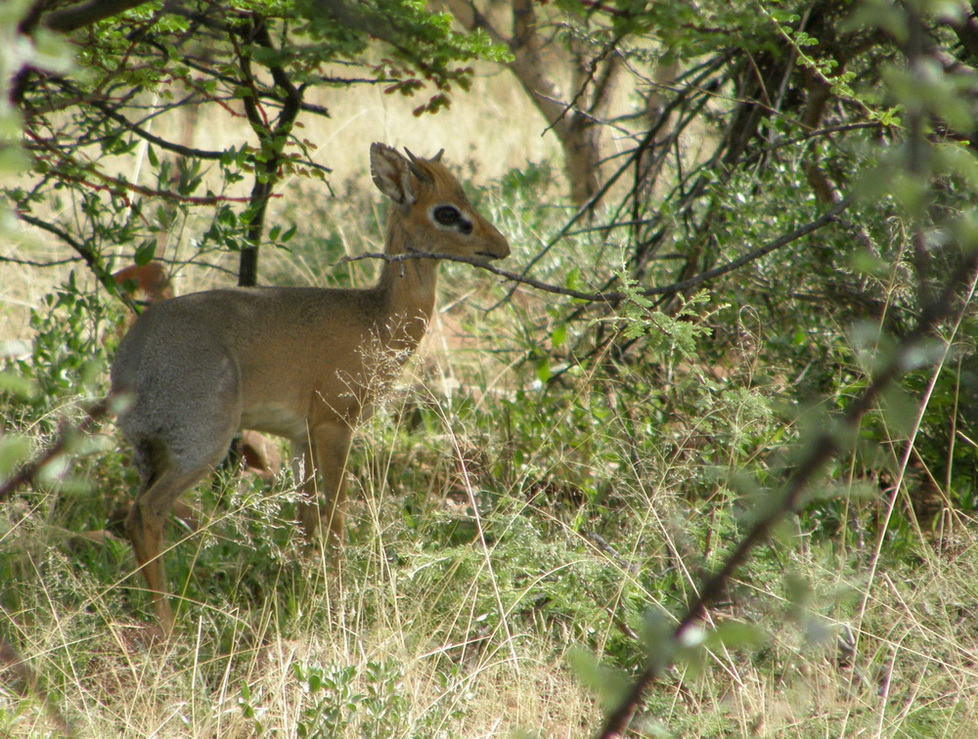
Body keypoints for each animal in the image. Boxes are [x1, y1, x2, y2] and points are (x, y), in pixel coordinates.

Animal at [110, 145, 510, 632]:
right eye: (448, 212)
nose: (501, 247)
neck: (375, 319)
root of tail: (127, 363)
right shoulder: (334, 426)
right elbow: (334, 511)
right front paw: (338, 598)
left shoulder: (301, 437)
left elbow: (305, 514)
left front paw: (300, 587)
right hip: (203, 445)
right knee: (148, 512)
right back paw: (169, 626)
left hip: (158, 453)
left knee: (134, 514)